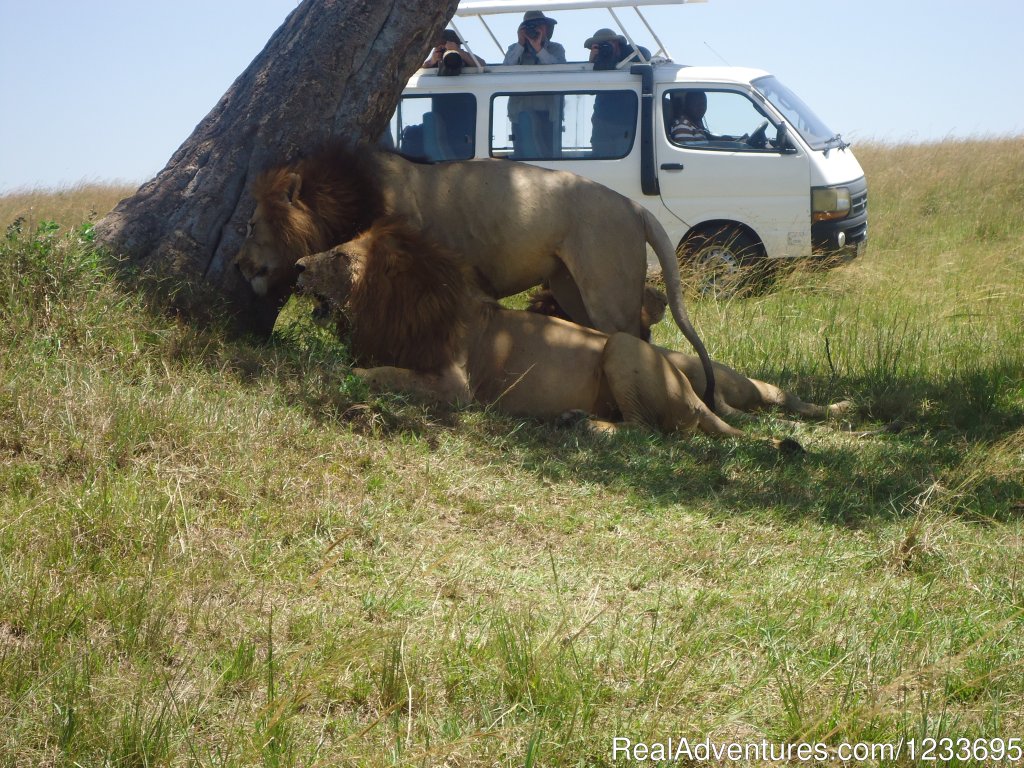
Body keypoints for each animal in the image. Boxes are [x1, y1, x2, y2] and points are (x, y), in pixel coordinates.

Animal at [230, 142, 720, 411]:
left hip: (606, 289)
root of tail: (635, 207)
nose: (237, 265)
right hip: (570, 288)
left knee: (639, 336)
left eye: (250, 225)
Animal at [290, 219, 847, 438]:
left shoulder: (456, 386)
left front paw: (347, 378)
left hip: (622, 350)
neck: (404, 307)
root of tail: (693, 395)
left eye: (338, 257)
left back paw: (589, 425)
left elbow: (386, 375)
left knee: (649, 429)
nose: (295, 265)